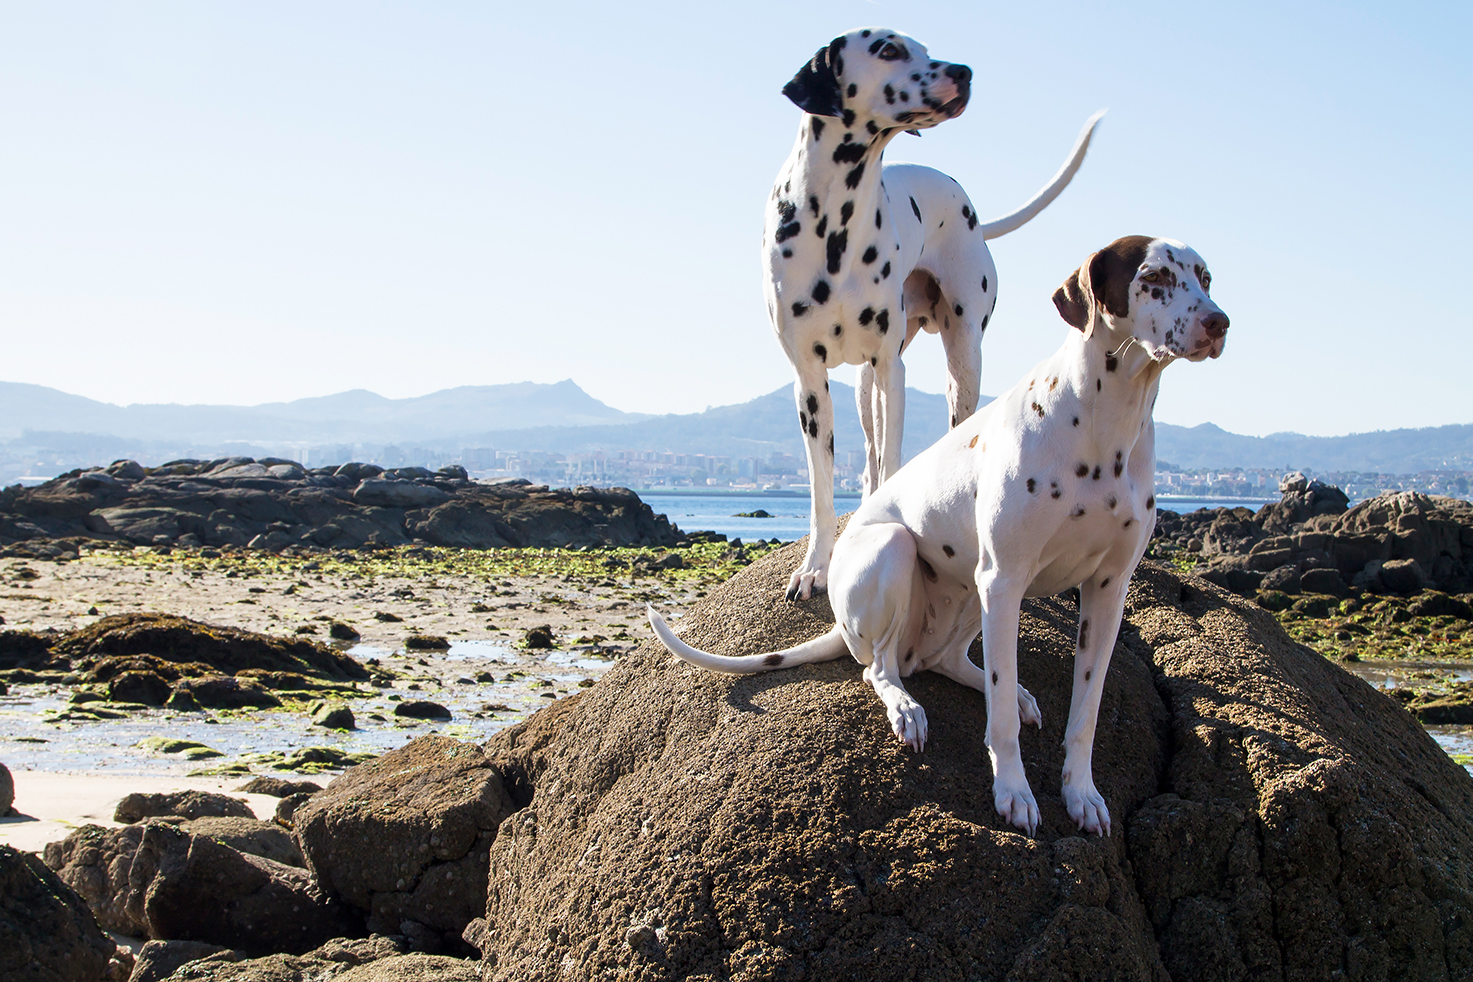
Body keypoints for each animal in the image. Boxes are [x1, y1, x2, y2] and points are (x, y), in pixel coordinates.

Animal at [656, 235, 1231, 836]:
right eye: (1154, 277)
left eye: (1205, 278)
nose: (1220, 323)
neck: (1107, 423)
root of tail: (838, 620)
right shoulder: (1004, 579)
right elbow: (998, 725)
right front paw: (1013, 791)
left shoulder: (1107, 591)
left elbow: (1086, 714)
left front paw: (1081, 794)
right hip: (898, 552)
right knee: (880, 667)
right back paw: (906, 707)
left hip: (970, 590)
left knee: (950, 663)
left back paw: (1012, 694)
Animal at [771, 26, 1107, 603]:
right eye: (887, 49)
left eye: (923, 47)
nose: (964, 72)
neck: (834, 220)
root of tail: (974, 213)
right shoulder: (809, 381)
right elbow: (821, 485)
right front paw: (815, 566)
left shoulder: (892, 369)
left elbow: (892, 459)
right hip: (864, 387)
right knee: (868, 454)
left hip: (961, 356)